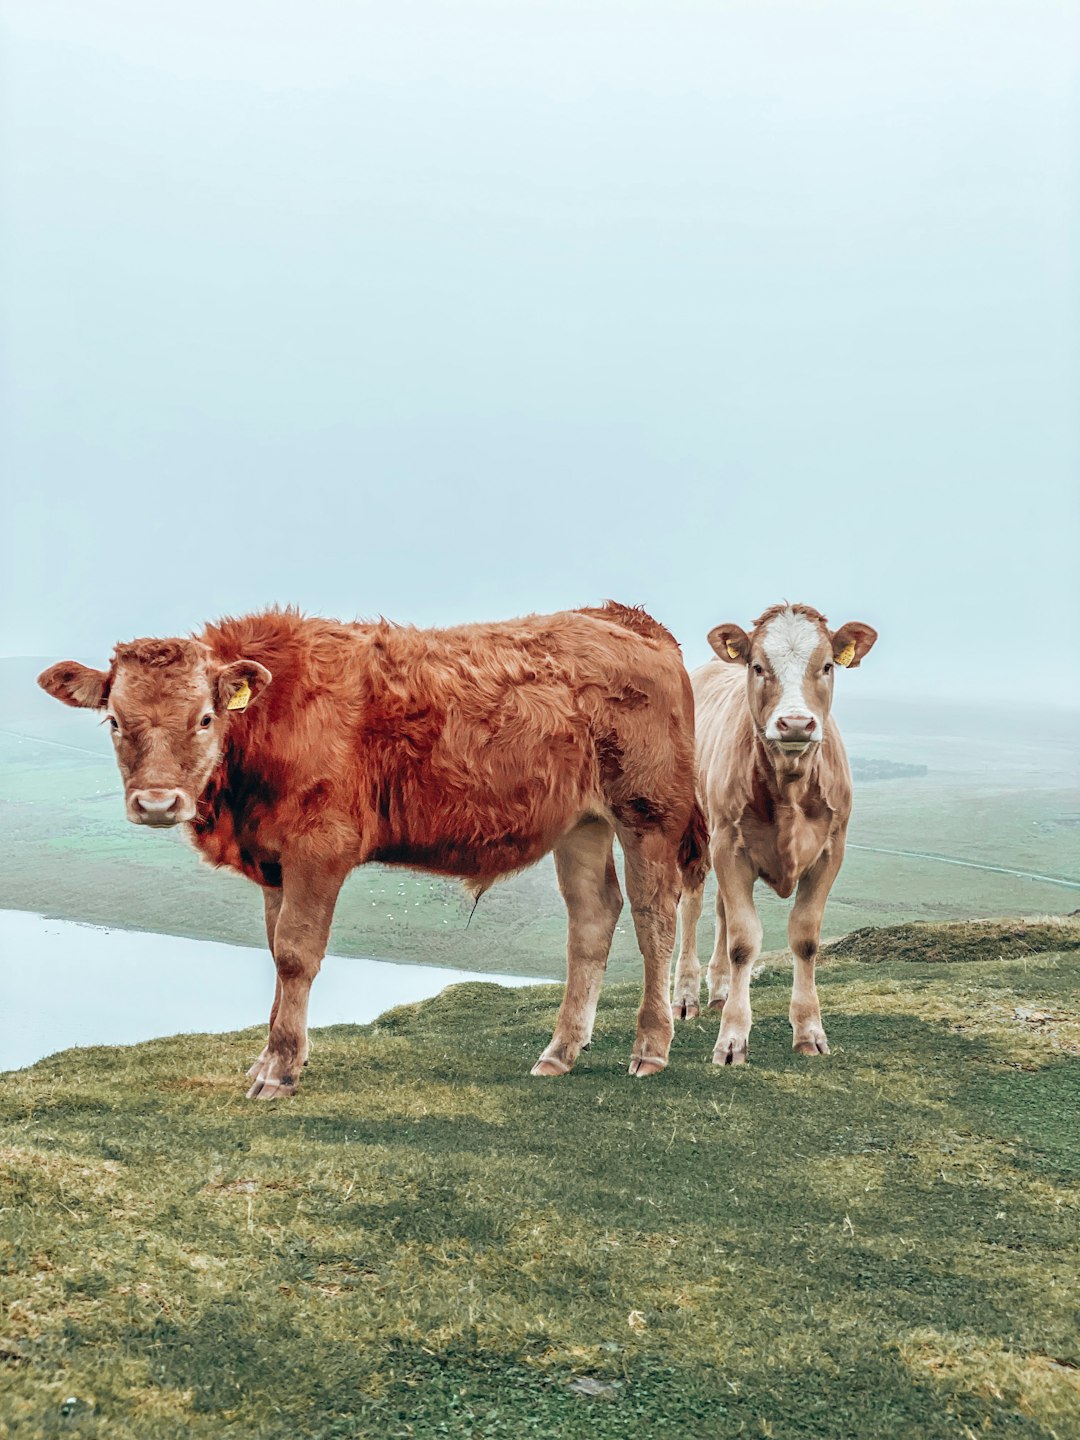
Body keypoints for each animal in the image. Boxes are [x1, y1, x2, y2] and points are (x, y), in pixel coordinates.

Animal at [38, 603, 707, 1098]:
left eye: (204, 718)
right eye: (115, 721)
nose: (156, 803)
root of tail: (621, 617)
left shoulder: (318, 848)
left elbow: (295, 953)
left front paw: (281, 1070)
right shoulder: (275, 861)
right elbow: (274, 948)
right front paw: (269, 1058)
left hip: (648, 811)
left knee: (654, 914)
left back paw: (651, 1047)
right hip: (582, 825)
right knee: (592, 918)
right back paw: (561, 1050)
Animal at [670, 603, 877, 1065]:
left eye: (827, 665)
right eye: (759, 666)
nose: (796, 723)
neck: (790, 785)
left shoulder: (831, 850)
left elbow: (805, 938)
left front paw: (809, 1030)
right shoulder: (728, 845)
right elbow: (744, 942)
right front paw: (732, 1039)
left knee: (719, 909)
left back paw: (719, 989)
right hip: (696, 831)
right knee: (691, 906)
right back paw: (686, 996)